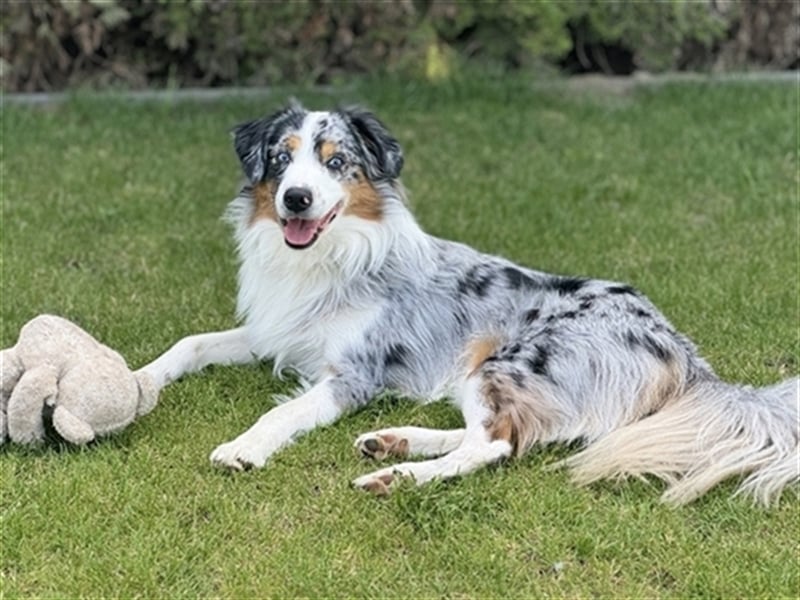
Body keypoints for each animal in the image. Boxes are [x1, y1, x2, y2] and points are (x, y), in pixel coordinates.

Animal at [141, 101, 796, 504]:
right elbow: (191, 342)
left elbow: (281, 413)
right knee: (502, 433)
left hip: (505, 361)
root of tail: (682, 350)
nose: (296, 199)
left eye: (337, 162)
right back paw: (394, 440)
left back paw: (395, 473)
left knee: (494, 445)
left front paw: (243, 448)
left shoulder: (353, 375)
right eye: (281, 158)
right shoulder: (276, 329)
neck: (324, 258)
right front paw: (143, 379)